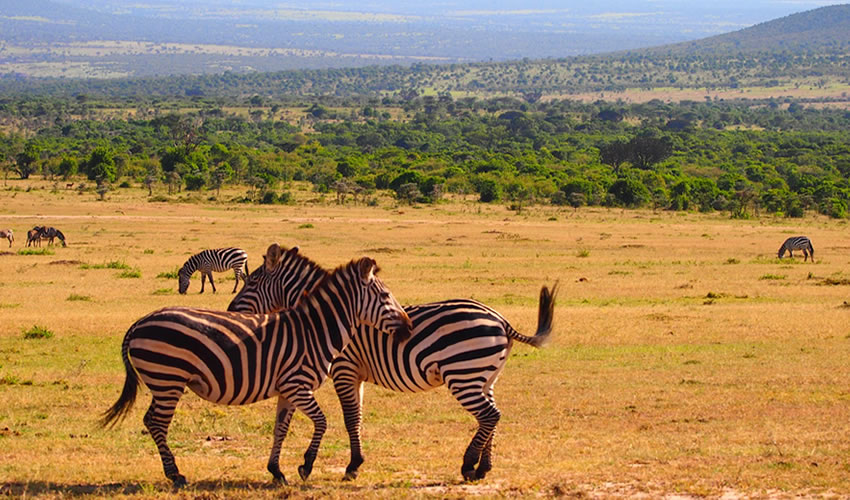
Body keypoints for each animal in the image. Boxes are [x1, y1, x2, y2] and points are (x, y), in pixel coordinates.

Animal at [101, 256, 412, 486]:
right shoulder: (298, 385)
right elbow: (322, 422)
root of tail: (139, 322)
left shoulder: (288, 390)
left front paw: (277, 471)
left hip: (164, 382)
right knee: (156, 423)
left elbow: (280, 429)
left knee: (151, 420)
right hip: (168, 380)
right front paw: (306, 465)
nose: (409, 329)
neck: (314, 331)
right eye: (386, 295)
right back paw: (175, 475)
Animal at [229, 244, 556, 482]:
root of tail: (501, 320)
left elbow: (350, 418)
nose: (230, 309)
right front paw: (354, 463)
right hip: (485, 377)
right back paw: (483, 468)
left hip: (463, 374)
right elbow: (357, 417)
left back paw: (468, 465)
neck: (328, 318)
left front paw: (351, 466)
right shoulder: (354, 374)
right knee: (491, 417)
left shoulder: (345, 369)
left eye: (253, 281)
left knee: (489, 416)